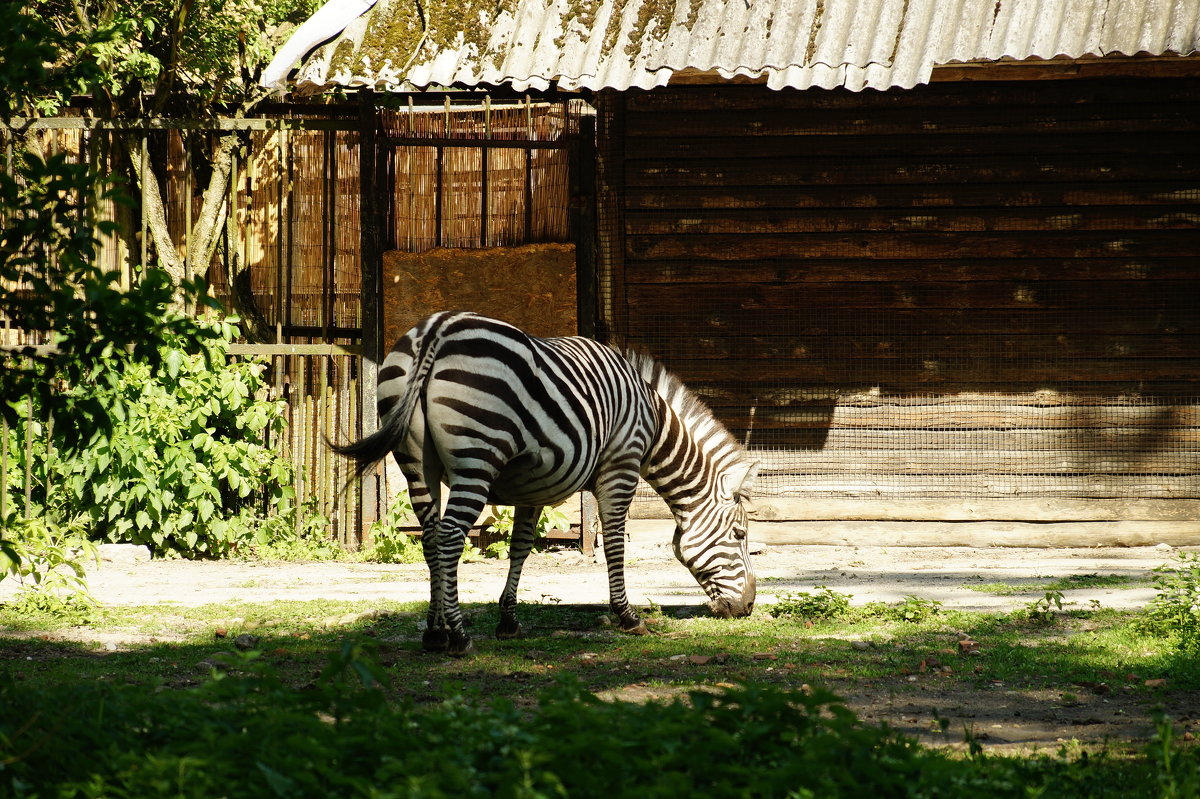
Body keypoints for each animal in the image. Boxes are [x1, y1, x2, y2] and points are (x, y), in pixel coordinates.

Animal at [333, 311, 753, 652]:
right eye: (740, 535)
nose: (748, 607)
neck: (653, 421)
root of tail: (437, 328)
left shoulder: (532, 486)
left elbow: (520, 547)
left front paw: (508, 621)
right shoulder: (621, 465)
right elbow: (615, 544)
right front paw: (628, 617)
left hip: (417, 464)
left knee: (432, 537)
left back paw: (434, 634)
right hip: (477, 456)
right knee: (451, 536)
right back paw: (459, 637)